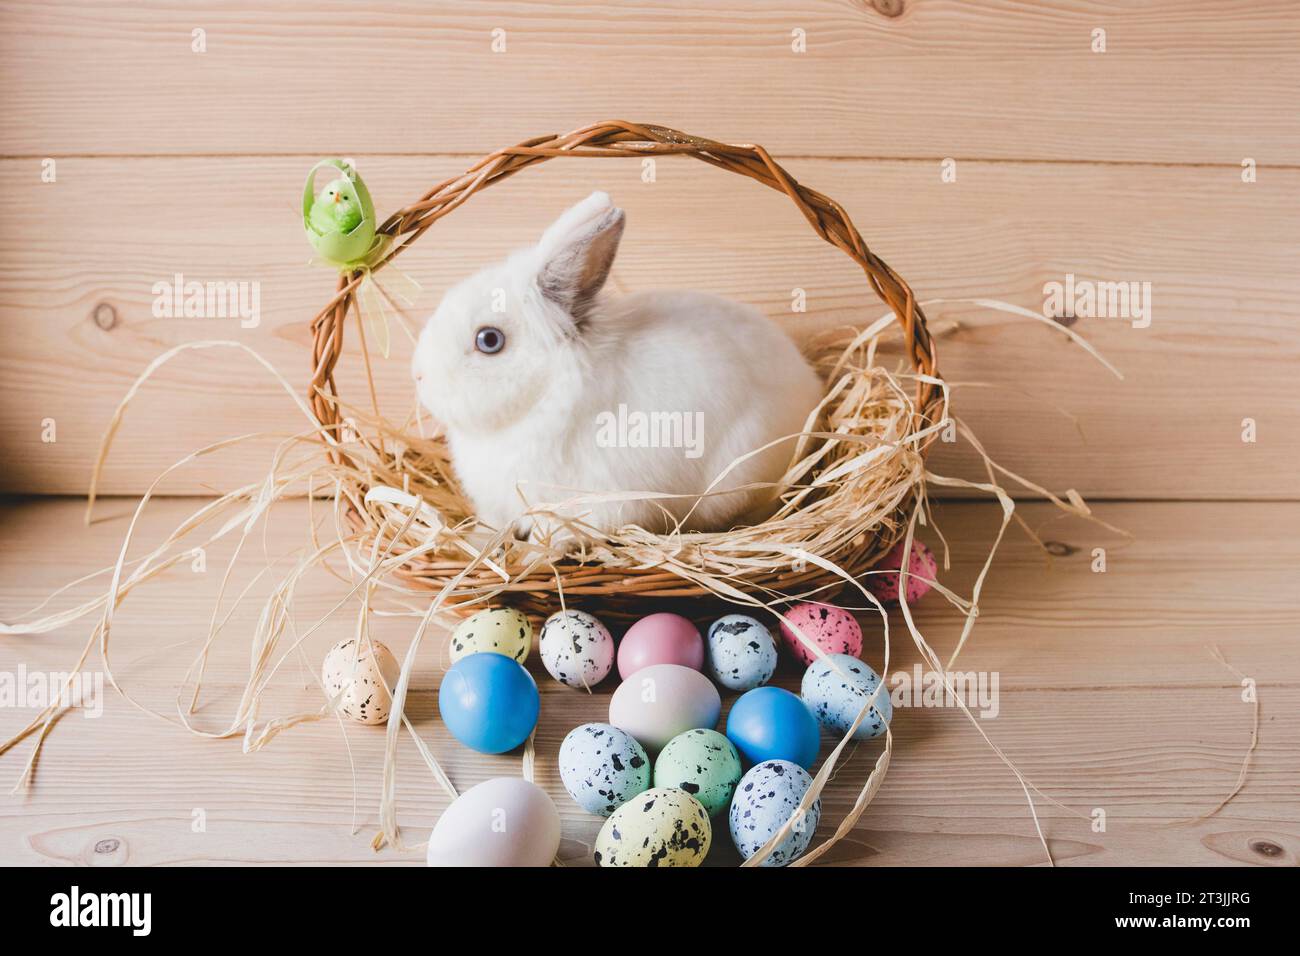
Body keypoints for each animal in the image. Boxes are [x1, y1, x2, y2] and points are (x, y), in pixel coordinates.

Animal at [410, 191, 821, 541]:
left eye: (489, 340)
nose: (419, 376)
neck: (547, 394)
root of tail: (811, 386)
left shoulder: (593, 503)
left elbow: (558, 534)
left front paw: (536, 554)